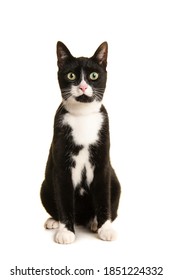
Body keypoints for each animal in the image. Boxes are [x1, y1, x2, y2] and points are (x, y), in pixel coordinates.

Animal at [40, 41, 121, 243]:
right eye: (71, 75)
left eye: (93, 76)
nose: (83, 87)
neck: (82, 115)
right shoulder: (61, 166)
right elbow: (64, 199)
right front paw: (65, 231)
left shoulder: (102, 163)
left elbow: (103, 196)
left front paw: (105, 228)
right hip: (45, 185)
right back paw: (53, 220)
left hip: (116, 183)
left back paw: (93, 222)